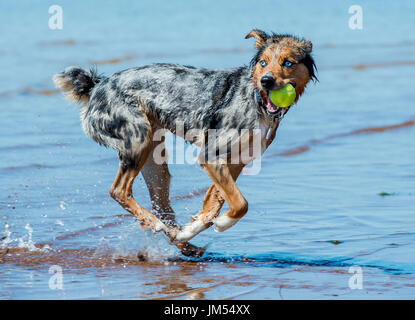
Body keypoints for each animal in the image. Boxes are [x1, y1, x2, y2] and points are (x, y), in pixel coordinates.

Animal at [52, 30, 318, 258]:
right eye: (263, 62)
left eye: (287, 63)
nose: (266, 81)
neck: (255, 101)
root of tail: (97, 86)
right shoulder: (211, 155)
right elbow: (240, 203)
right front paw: (221, 224)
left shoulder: (236, 161)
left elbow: (217, 203)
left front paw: (192, 229)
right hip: (138, 139)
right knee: (119, 191)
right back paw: (158, 226)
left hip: (155, 162)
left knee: (161, 206)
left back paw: (180, 240)